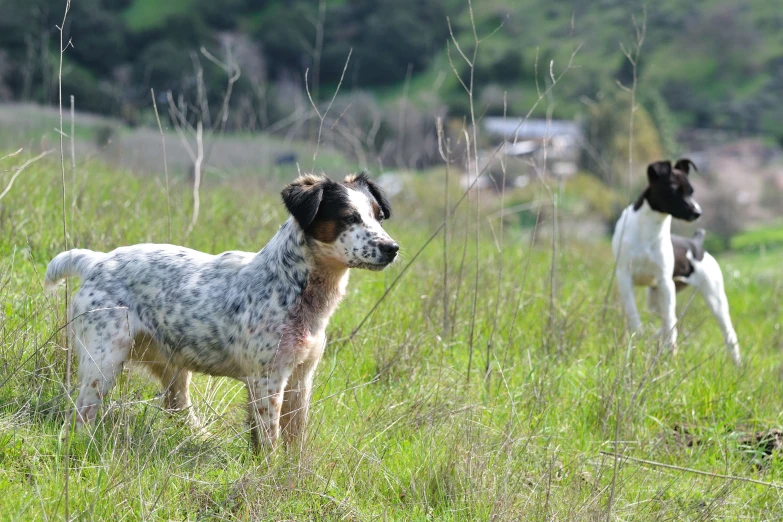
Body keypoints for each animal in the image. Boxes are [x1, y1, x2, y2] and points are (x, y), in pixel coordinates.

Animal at [43, 172, 398, 446]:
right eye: (349, 217)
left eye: (378, 216)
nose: (392, 248)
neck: (291, 286)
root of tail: (96, 261)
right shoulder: (266, 380)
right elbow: (269, 442)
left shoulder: (301, 378)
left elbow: (295, 441)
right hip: (102, 364)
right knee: (80, 415)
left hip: (171, 366)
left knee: (176, 407)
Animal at [612, 158, 740, 366]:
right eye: (674, 189)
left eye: (691, 190)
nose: (697, 212)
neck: (648, 230)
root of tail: (697, 243)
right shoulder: (624, 278)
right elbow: (634, 317)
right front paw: (638, 340)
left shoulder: (665, 282)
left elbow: (669, 326)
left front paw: (670, 354)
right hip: (655, 298)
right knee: (668, 320)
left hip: (714, 298)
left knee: (727, 334)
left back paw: (737, 365)